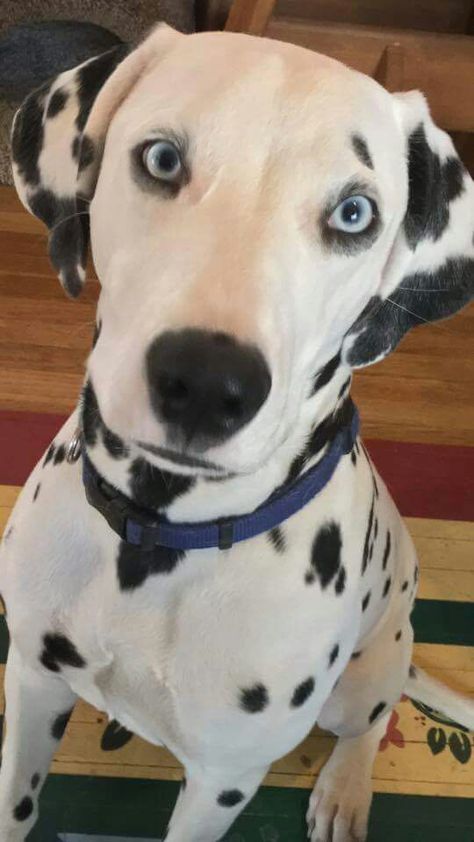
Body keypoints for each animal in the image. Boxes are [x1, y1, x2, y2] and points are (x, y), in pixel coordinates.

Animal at [0, 23, 474, 840]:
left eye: (355, 214)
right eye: (162, 158)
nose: (206, 384)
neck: (157, 534)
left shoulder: (224, 781)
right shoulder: (31, 682)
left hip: (365, 678)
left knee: (372, 722)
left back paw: (347, 788)